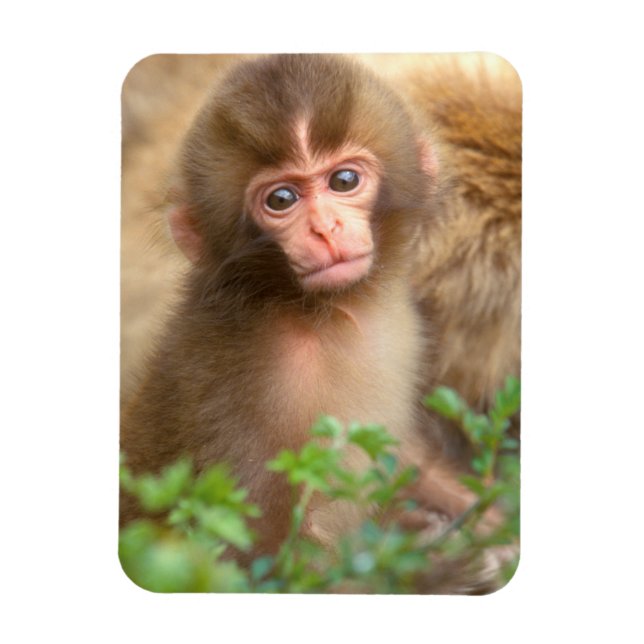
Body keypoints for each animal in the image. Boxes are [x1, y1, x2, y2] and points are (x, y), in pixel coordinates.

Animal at [120, 54, 521, 586]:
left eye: (344, 181)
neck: (327, 314)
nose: (326, 229)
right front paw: (444, 573)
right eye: (281, 200)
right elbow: (258, 560)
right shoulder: (256, 383)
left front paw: (491, 519)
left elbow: (407, 455)